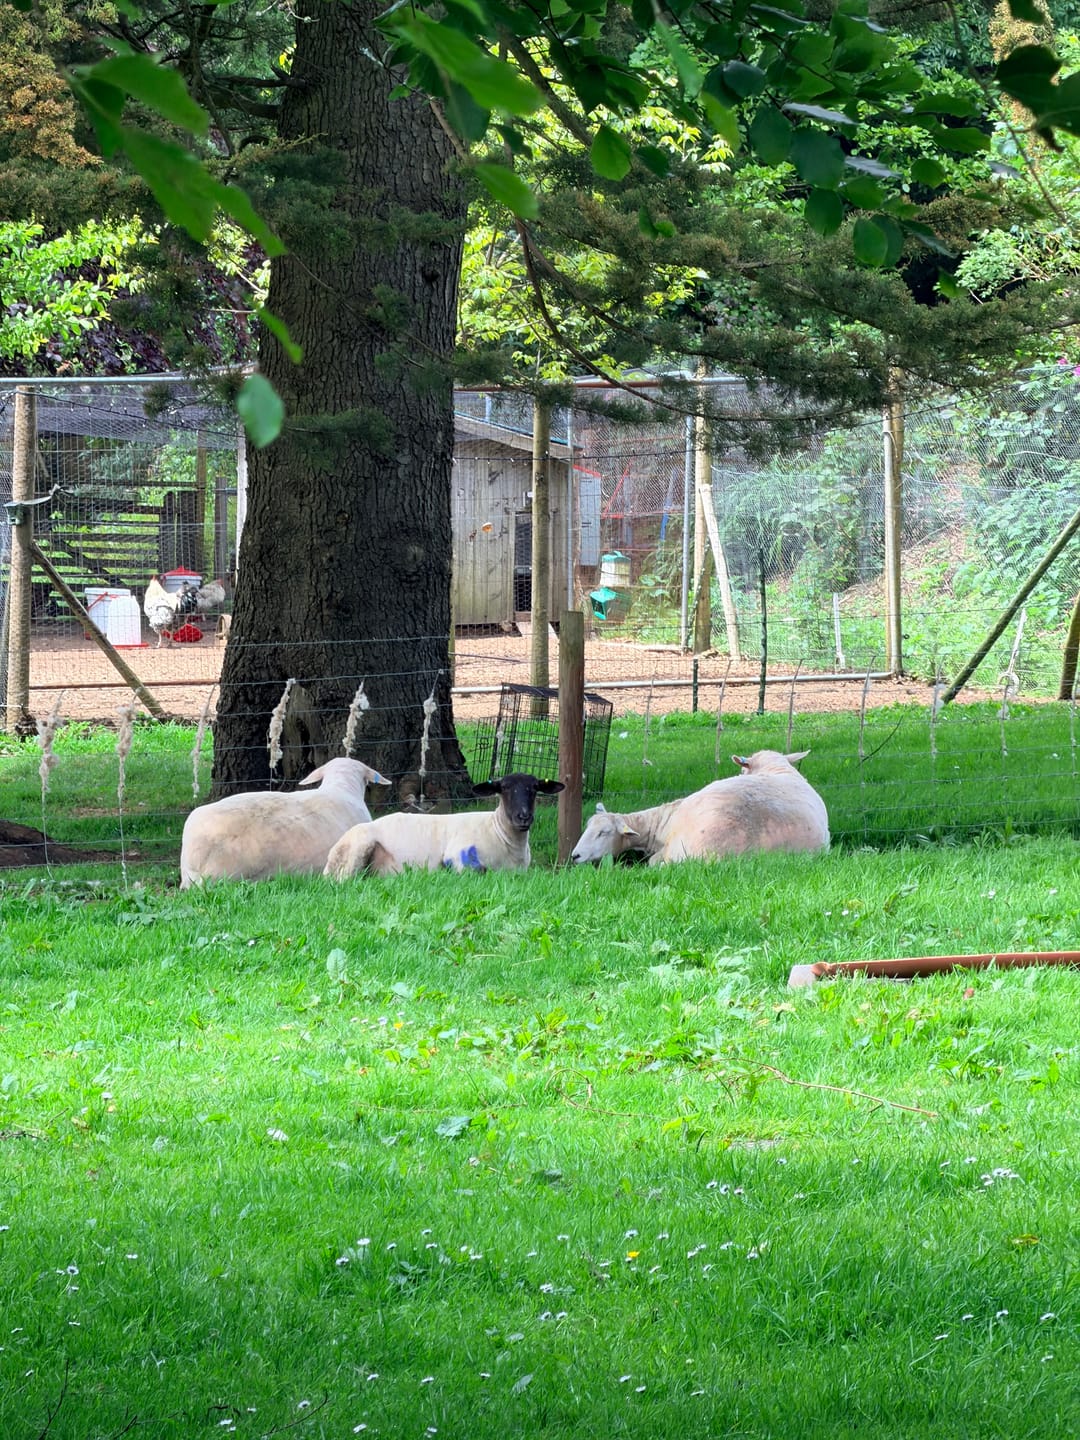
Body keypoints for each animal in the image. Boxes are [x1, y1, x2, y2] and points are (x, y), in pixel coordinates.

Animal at [323, 771, 564, 879]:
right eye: (504, 788)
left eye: (535, 788)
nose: (523, 817)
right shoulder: (457, 855)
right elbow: (479, 870)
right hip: (357, 851)